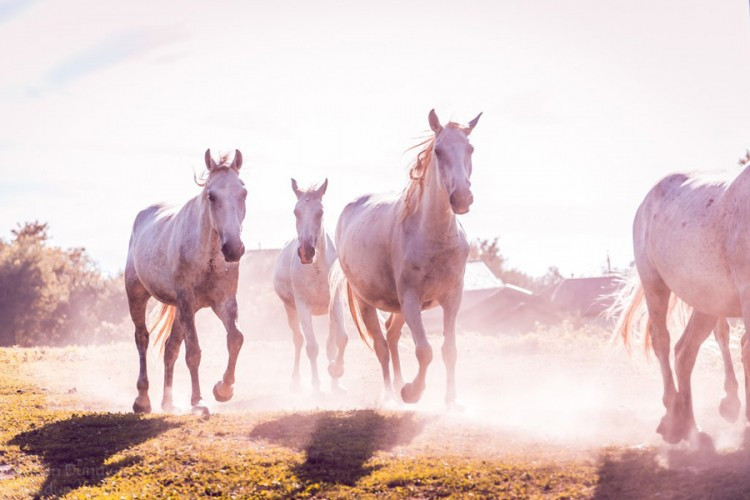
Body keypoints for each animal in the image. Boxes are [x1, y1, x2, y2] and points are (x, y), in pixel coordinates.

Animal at [125, 150, 247, 416]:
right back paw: (143, 400)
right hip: (137, 295)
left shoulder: (224, 302)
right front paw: (198, 402)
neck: (208, 255)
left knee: (170, 348)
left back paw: (168, 402)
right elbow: (193, 352)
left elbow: (235, 338)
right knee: (142, 338)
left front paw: (223, 389)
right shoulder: (187, 301)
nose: (233, 249)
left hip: (181, 311)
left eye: (243, 193)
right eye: (212, 195)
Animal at [274, 178, 350, 392]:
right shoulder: (302, 306)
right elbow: (312, 347)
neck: (317, 269)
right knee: (299, 340)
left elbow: (340, 339)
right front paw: (316, 386)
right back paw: (295, 381)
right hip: (290, 309)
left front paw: (336, 374)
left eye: (320, 212)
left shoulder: (336, 303)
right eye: (296, 211)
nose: (306, 251)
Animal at [334, 108, 482, 406]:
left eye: (470, 148)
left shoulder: (453, 298)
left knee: (391, 337)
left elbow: (449, 350)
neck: (433, 236)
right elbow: (424, 350)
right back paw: (391, 395)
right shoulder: (411, 298)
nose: (462, 198)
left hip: (399, 307)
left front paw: (451, 402)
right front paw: (412, 392)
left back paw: (399, 384)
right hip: (369, 303)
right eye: (438, 151)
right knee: (381, 346)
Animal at [612, 168, 750, 446]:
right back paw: (674, 419)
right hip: (655, 285)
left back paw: (692, 426)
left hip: (707, 303)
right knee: (663, 343)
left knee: (685, 352)